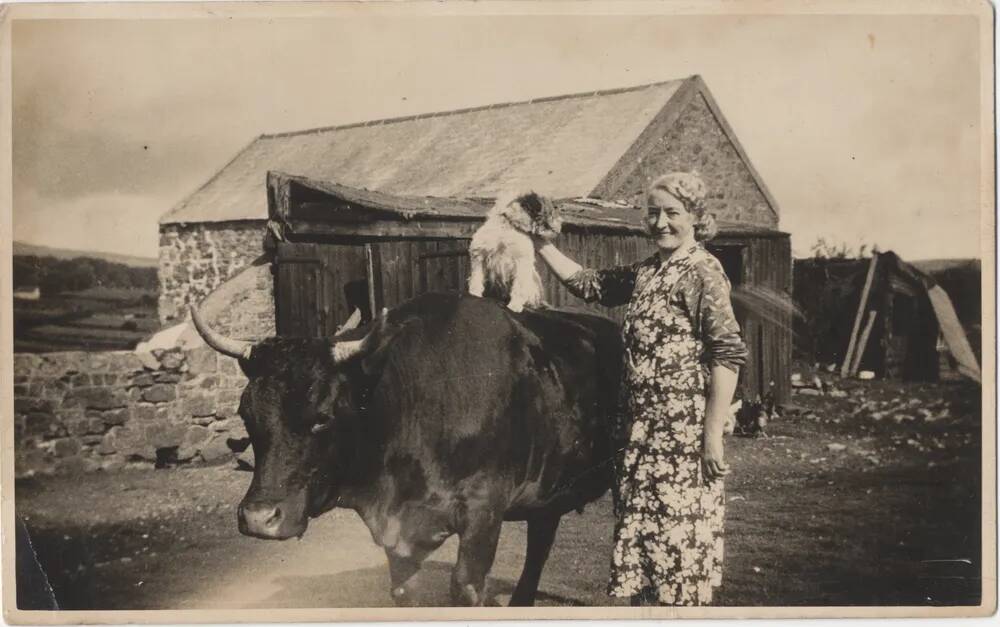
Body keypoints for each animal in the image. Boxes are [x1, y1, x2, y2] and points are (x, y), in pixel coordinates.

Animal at [190, 294, 620, 608]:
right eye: (246, 413)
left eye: (322, 416)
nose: (258, 518)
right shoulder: (399, 536)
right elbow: (404, 592)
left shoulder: (484, 508)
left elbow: (465, 588)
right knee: (541, 538)